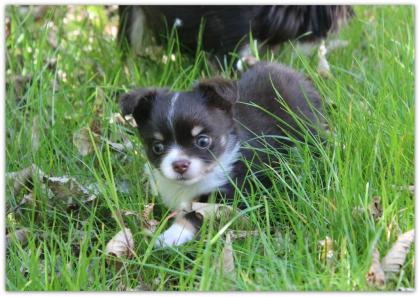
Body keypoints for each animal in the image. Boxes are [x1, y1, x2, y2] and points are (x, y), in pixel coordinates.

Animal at [120, 61, 326, 246]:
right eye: (157, 147)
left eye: (203, 141)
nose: (180, 165)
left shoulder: (236, 193)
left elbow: (196, 214)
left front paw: (170, 236)